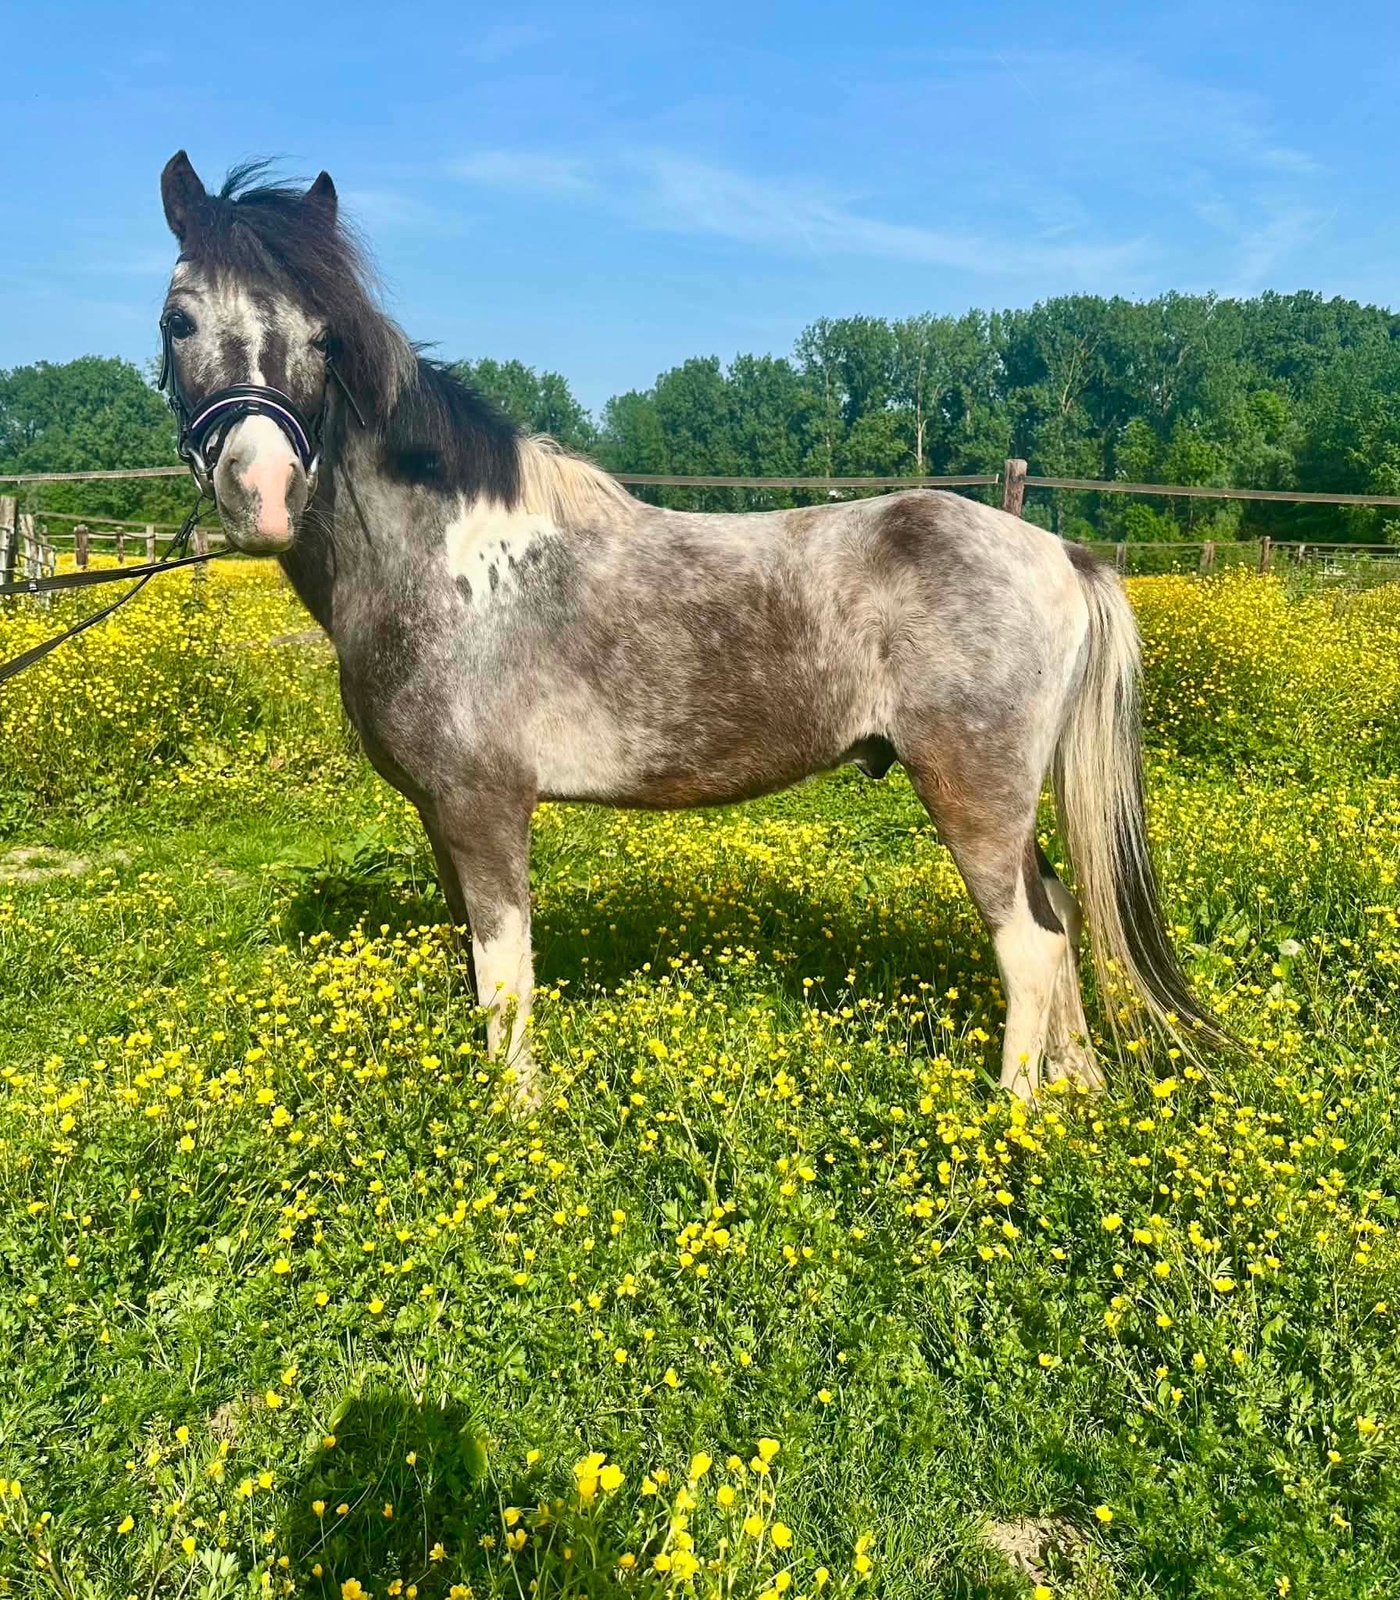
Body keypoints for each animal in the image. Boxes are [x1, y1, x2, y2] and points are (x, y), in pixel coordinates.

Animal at [155, 151, 1223, 1105]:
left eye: (323, 338)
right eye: (179, 321)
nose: (261, 494)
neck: (447, 561)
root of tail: (1062, 556)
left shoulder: (484, 808)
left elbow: (505, 980)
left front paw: (514, 1119)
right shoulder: (438, 817)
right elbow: (474, 971)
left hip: (973, 795)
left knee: (1031, 944)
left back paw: (1013, 1116)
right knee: (1063, 921)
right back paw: (1078, 1086)